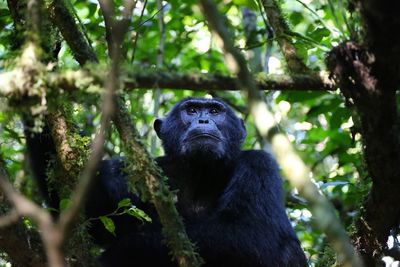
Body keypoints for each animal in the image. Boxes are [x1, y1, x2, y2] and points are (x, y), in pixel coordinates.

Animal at [25, 98, 306, 267]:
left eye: (215, 111)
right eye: (191, 110)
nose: (203, 120)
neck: (198, 172)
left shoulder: (260, 166)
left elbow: (256, 234)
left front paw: (127, 249)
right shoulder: (127, 173)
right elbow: (88, 215)